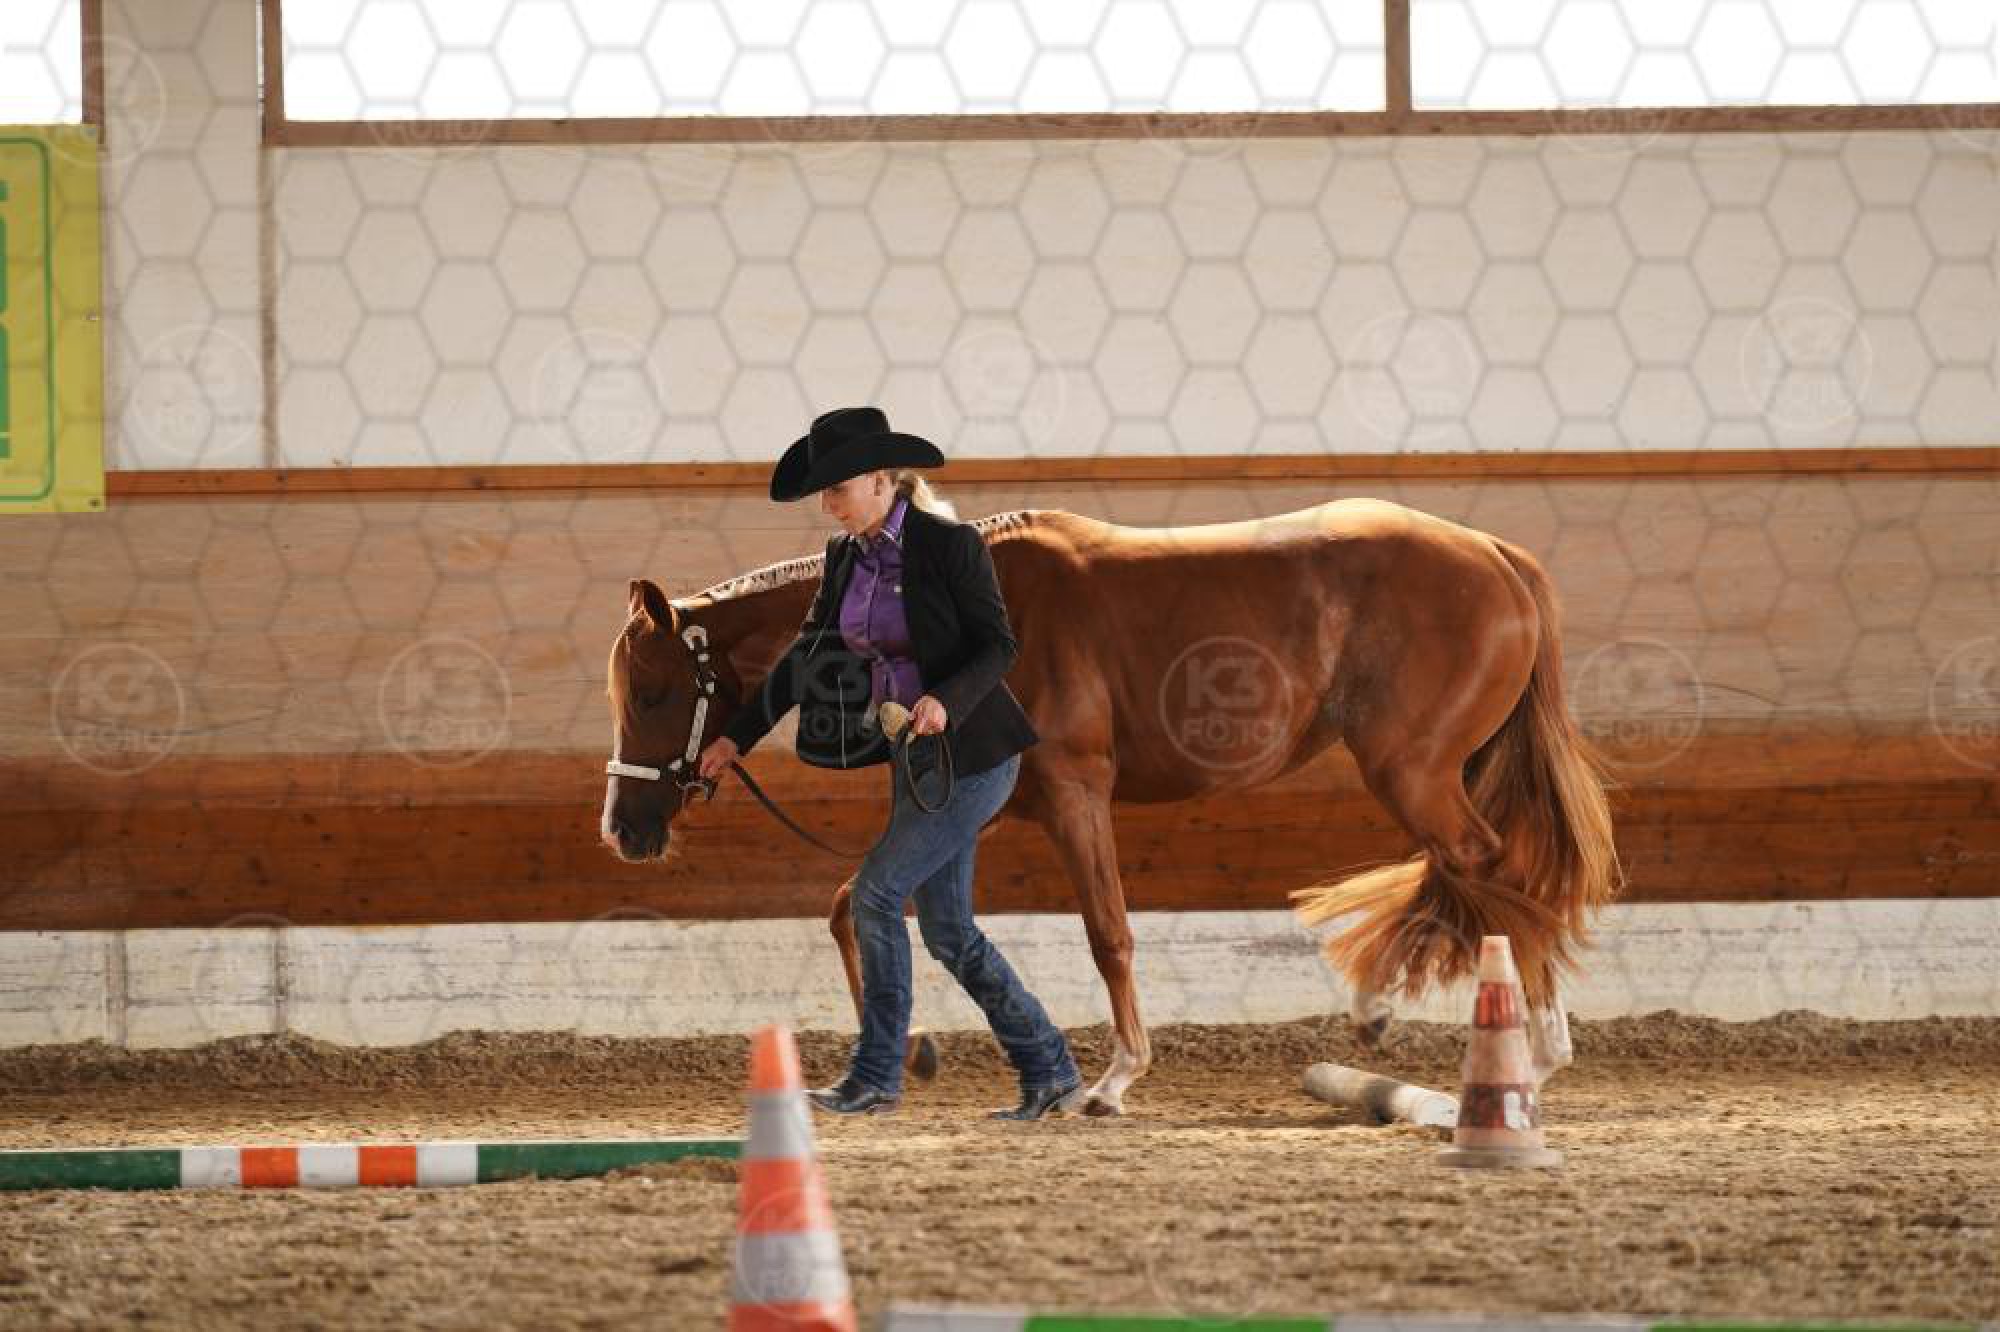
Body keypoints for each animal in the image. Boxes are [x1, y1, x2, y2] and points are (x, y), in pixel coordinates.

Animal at [602, 498, 1624, 1116]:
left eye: (653, 692)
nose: (624, 830)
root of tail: (1497, 555)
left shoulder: (1074, 796)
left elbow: (1109, 933)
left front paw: (1112, 1081)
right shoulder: (967, 808)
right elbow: (857, 906)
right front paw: (911, 1053)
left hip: (1414, 773)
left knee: (1501, 878)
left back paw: (1532, 1058)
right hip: (1429, 775)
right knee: (1473, 885)